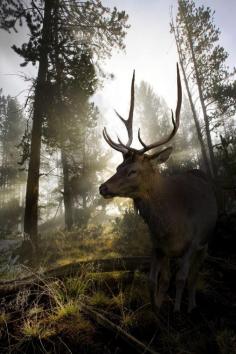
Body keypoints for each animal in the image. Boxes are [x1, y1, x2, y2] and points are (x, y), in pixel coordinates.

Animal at [99, 64, 218, 312]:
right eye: (118, 166)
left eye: (132, 171)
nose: (102, 188)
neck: (170, 225)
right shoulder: (158, 246)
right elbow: (155, 280)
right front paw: (157, 307)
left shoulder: (193, 242)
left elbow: (181, 278)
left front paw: (177, 311)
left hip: (207, 241)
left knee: (194, 274)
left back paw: (191, 305)